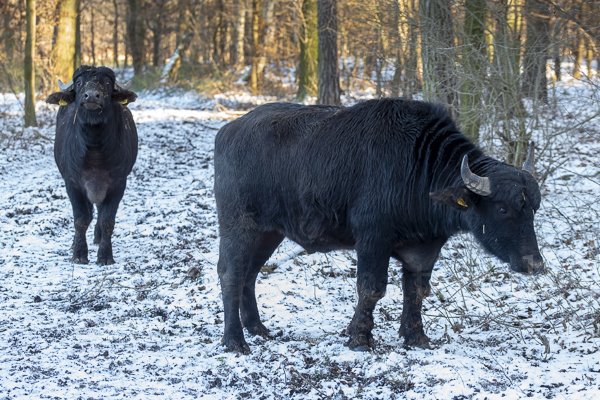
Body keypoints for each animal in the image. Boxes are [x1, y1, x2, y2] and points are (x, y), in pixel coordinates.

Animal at [46, 65, 138, 266]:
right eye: (79, 82)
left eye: (108, 83)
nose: (92, 96)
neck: (95, 150)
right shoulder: (72, 183)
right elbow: (81, 219)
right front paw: (79, 253)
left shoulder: (118, 183)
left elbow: (107, 220)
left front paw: (105, 255)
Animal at [216, 99, 544, 354]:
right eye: (502, 208)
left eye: (534, 208)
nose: (534, 264)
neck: (418, 167)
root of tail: (228, 132)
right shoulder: (373, 239)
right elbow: (371, 288)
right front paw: (360, 338)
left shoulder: (423, 250)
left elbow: (416, 291)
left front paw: (415, 336)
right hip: (238, 225)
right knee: (231, 273)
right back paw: (235, 340)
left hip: (269, 232)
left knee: (250, 274)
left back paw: (258, 327)